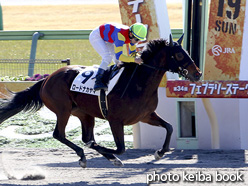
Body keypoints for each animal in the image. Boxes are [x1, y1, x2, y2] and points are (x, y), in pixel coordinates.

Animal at [0, 35, 201, 167]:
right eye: (180, 55)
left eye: (186, 51)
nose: (197, 74)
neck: (138, 82)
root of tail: (47, 79)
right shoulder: (115, 120)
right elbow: (119, 149)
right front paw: (112, 156)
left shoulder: (145, 115)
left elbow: (169, 127)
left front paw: (160, 153)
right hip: (63, 110)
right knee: (59, 134)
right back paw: (83, 156)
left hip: (84, 113)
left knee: (86, 137)